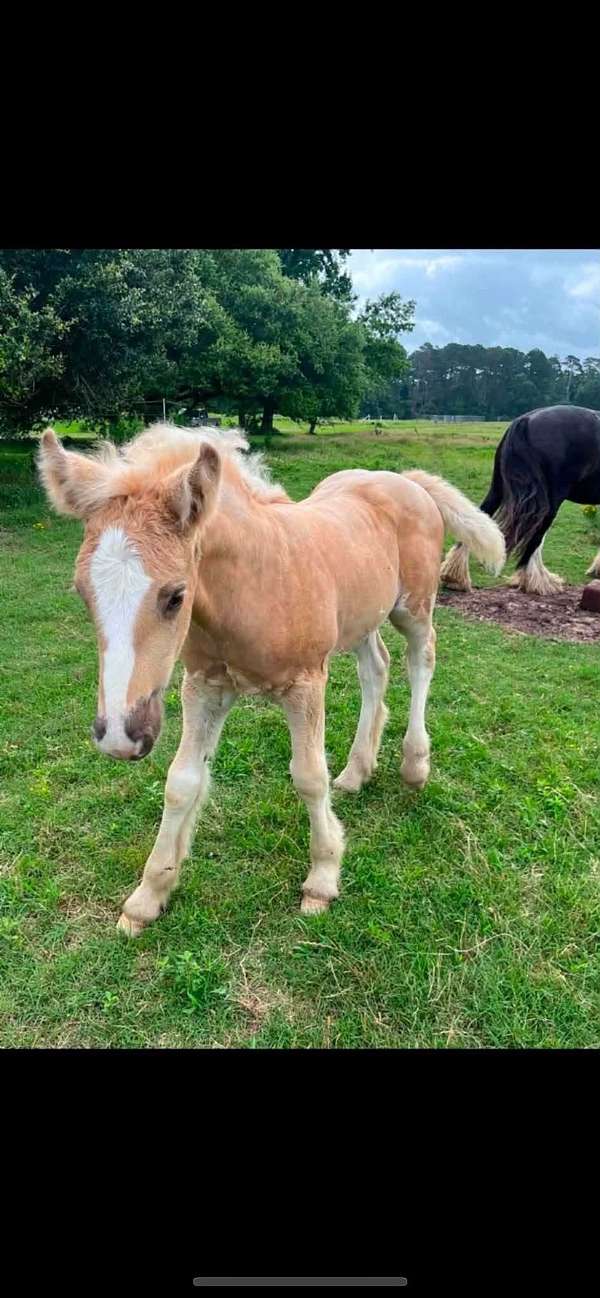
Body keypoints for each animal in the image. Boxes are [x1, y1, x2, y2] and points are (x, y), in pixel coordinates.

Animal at [38, 423, 505, 936]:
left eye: (176, 595)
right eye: (82, 592)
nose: (120, 737)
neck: (253, 587)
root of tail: (405, 480)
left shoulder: (305, 685)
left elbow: (309, 776)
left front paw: (322, 878)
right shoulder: (204, 688)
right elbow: (182, 782)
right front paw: (148, 896)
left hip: (414, 606)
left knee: (420, 660)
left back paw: (415, 764)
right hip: (360, 616)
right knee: (376, 668)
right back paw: (356, 772)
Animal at [440, 405, 600, 596]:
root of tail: (526, 420)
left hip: (498, 490)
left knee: (478, 519)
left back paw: (454, 577)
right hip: (550, 501)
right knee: (535, 539)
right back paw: (537, 582)